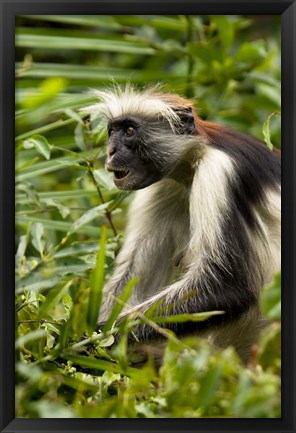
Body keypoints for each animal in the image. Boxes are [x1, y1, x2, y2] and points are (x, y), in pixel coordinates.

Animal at [82, 85, 280, 362]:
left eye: (130, 131)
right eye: (112, 132)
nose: (111, 151)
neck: (198, 155)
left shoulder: (218, 172)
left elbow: (229, 287)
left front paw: (96, 338)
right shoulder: (164, 185)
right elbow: (135, 276)